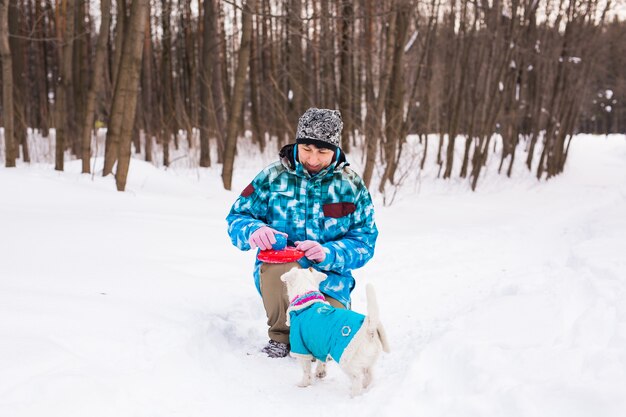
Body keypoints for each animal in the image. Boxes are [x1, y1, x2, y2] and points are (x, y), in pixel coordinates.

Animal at [280, 264, 388, 394]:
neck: (305, 295)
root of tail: (369, 330)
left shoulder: (300, 346)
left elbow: (306, 370)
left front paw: (304, 383)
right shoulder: (319, 344)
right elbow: (321, 361)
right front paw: (320, 372)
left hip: (347, 360)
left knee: (357, 378)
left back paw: (354, 394)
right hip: (368, 361)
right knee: (369, 376)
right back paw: (366, 388)